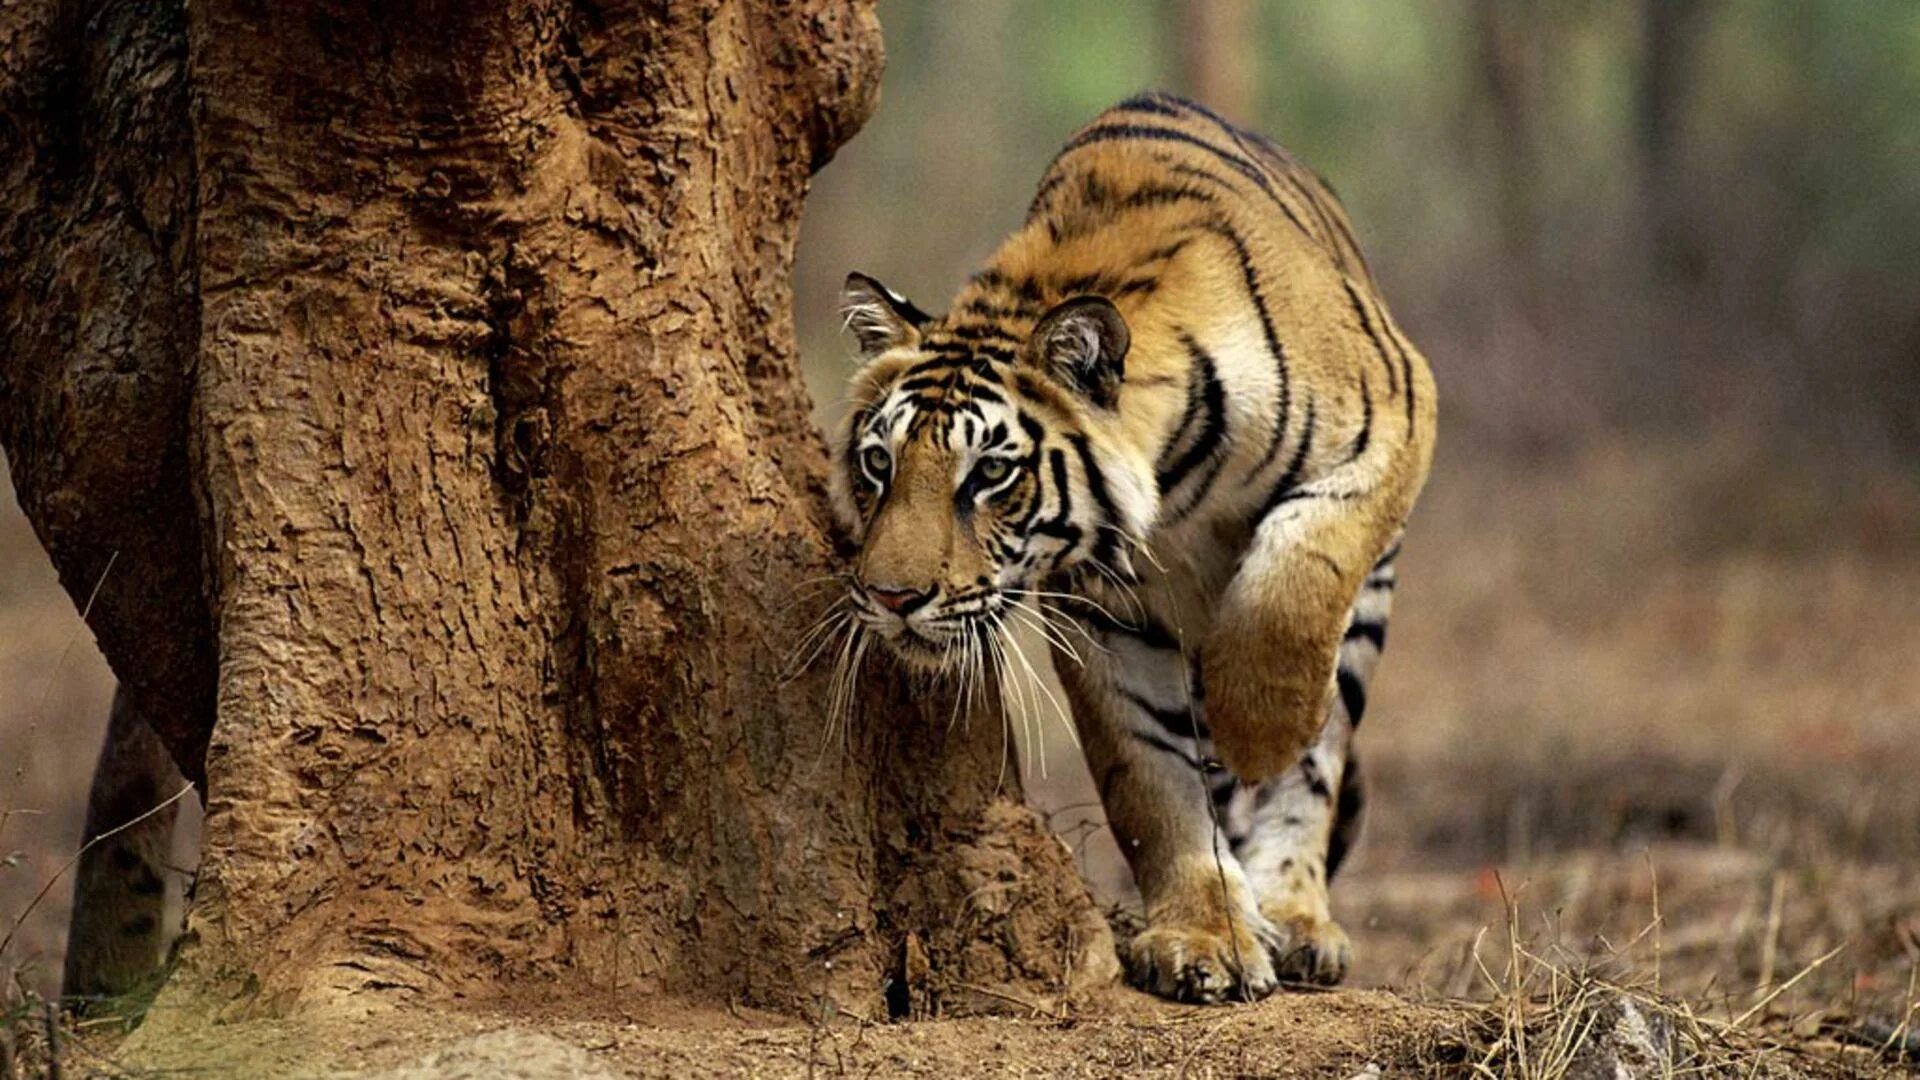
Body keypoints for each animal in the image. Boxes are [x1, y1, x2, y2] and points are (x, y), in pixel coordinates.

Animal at [826, 91, 1436, 1003]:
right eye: (878, 463)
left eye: (990, 473)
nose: (891, 599)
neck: (1177, 490)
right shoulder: (1104, 612)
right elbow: (1150, 781)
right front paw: (1206, 938)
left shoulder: (1397, 413)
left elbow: (1290, 588)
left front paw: (1261, 729)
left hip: (1368, 612)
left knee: (1319, 763)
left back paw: (1298, 917)